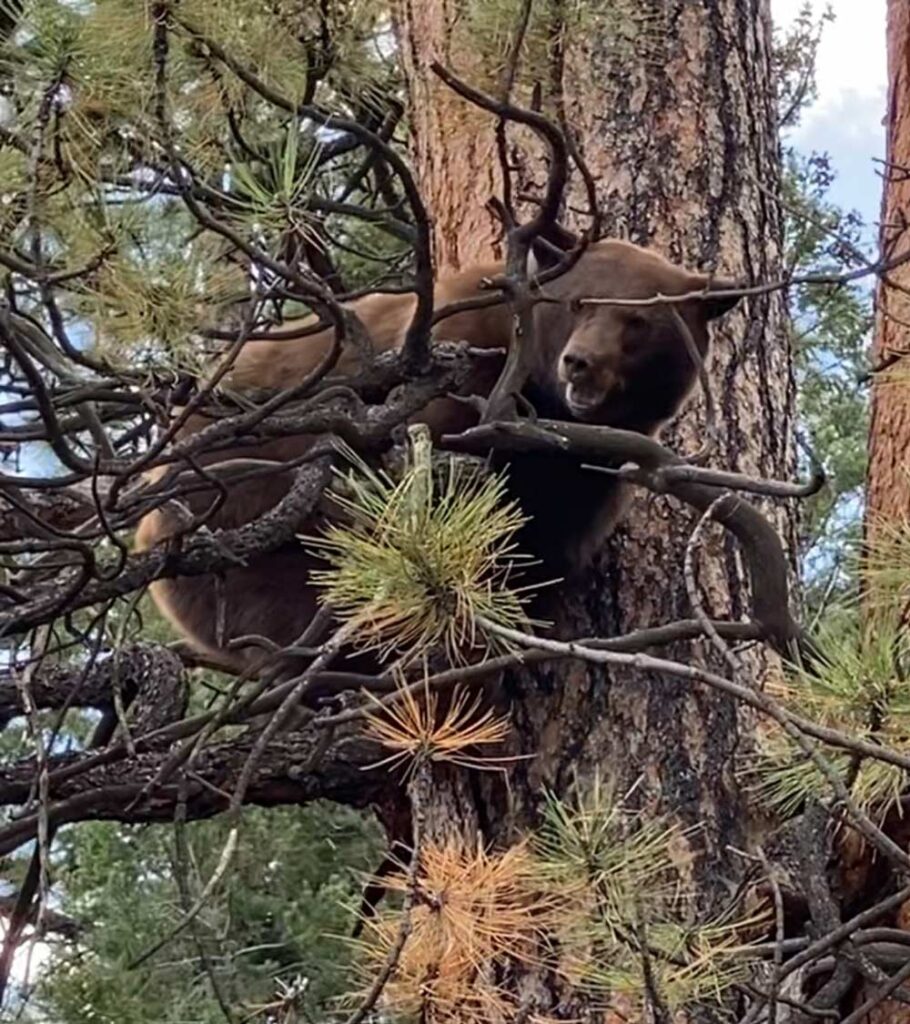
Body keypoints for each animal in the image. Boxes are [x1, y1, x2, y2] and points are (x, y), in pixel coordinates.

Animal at [135, 235, 741, 675]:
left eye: (638, 320)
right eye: (578, 302)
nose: (580, 362)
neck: (545, 404)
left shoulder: (592, 471)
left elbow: (544, 545)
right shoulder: (459, 372)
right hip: (243, 532)